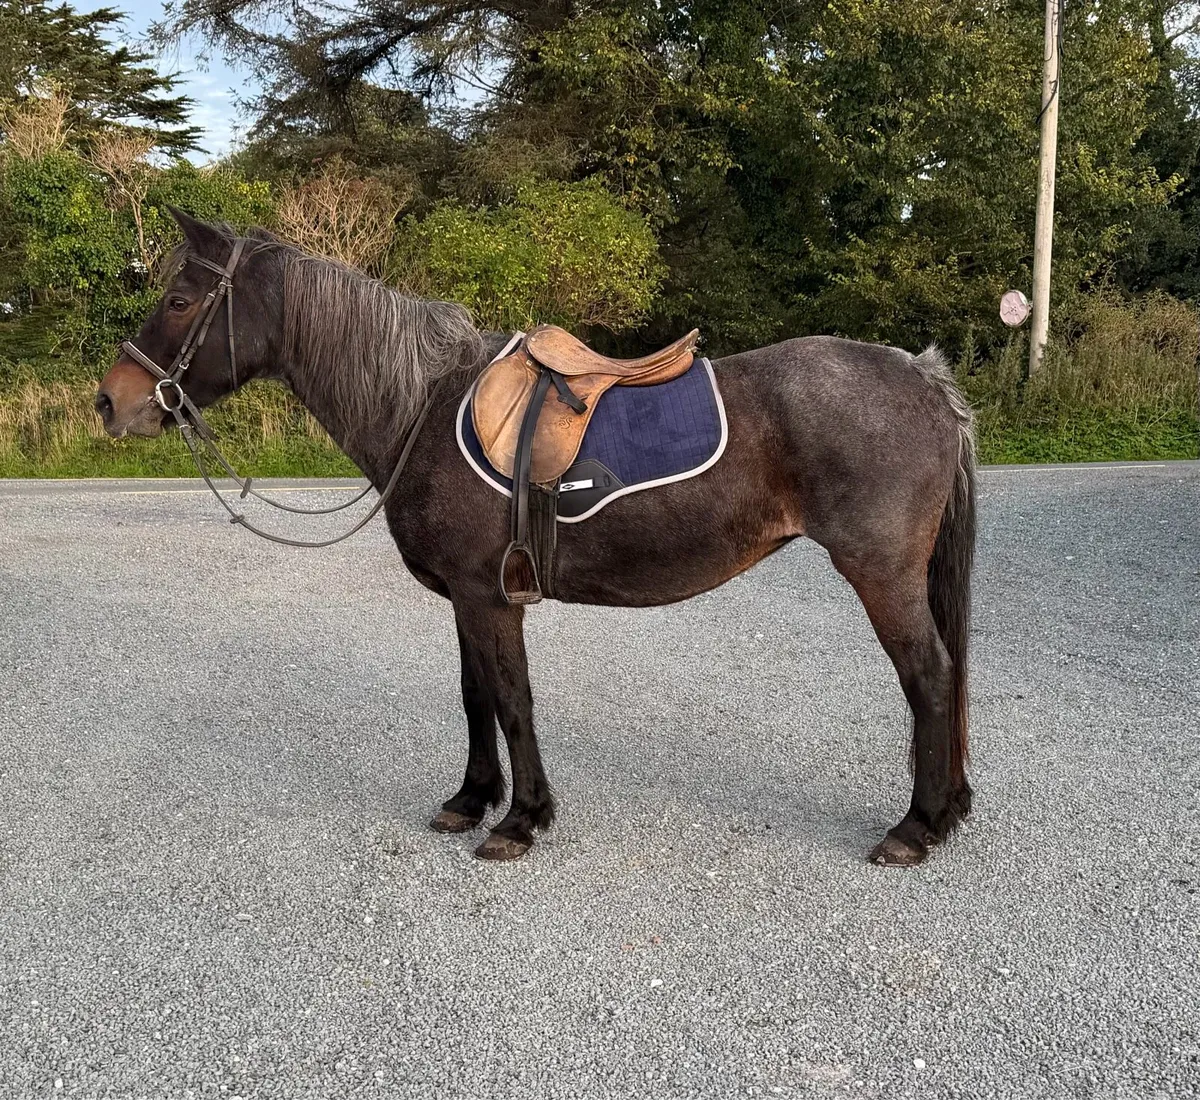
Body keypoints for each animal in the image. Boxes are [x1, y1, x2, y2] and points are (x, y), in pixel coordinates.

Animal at [96, 208, 977, 867]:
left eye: (180, 300)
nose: (111, 401)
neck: (422, 404)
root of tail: (922, 376)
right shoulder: (464, 596)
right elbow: (475, 695)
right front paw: (469, 801)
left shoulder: (490, 597)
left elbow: (513, 698)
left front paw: (520, 821)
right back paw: (946, 811)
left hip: (880, 573)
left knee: (930, 677)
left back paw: (915, 828)